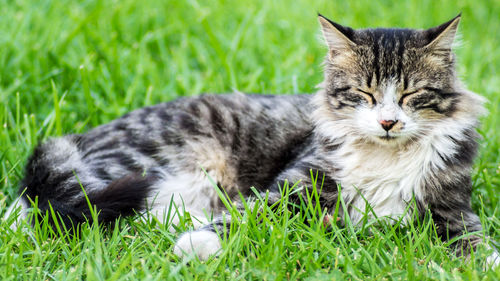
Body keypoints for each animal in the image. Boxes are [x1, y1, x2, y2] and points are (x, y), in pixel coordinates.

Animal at [5, 12, 498, 262]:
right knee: (32, 209)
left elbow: (474, 243)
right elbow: (246, 215)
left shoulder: (451, 209)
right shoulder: (295, 183)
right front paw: (196, 245)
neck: (385, 157)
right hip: (139, 162)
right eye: (364, 94)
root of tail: (79, 137)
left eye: (412, 94)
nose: (388, 123)